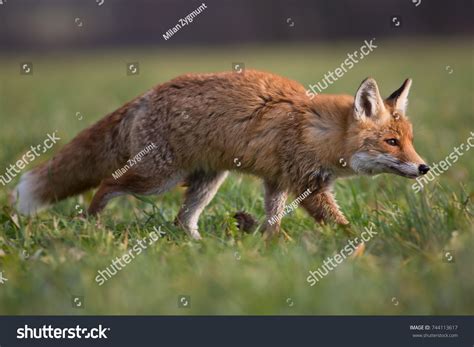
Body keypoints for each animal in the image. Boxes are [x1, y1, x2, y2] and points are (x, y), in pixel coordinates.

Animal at [13, 70, 430, 239]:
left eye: (409, 140)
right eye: (391, 142)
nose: (424, 167)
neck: (317, 130)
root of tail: (147, 93)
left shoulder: (277, 183)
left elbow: (272, 221)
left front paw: (267, 246)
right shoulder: (308, 187)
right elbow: (342, 225)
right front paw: (361, 245)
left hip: (207, 182)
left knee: (182, 220)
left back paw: (203, 248)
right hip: (156, 180)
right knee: (106, 182)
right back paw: (92, 222)